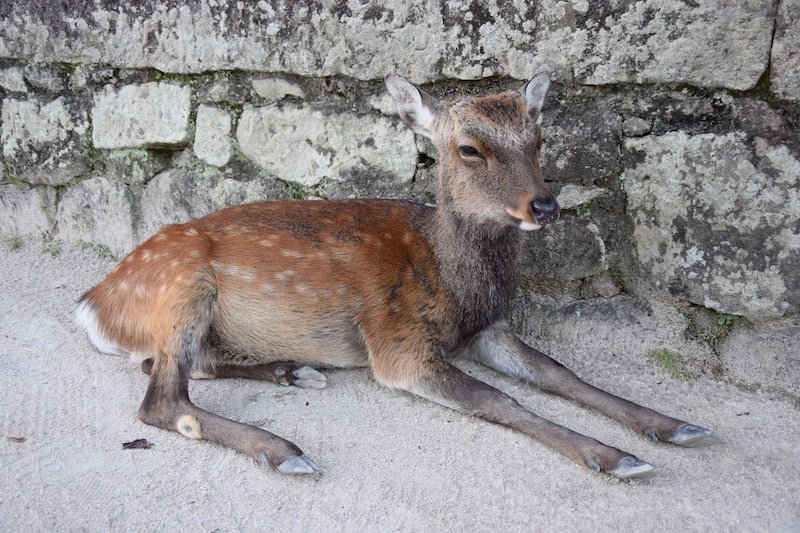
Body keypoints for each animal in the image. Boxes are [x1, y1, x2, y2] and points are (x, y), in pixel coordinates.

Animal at [76, 71, 720, 478]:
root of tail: (95, 304)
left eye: (538, 139)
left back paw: (293, 372)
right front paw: (615, 458)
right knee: (160, 401)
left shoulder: (487, 328)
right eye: (469, 148)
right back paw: (283, 449)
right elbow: (497, 400)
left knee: (174, 367)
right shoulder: (396, 341)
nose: (544, 206)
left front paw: (675, 425)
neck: (453, 282)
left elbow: (560, 373)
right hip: (183, 285)